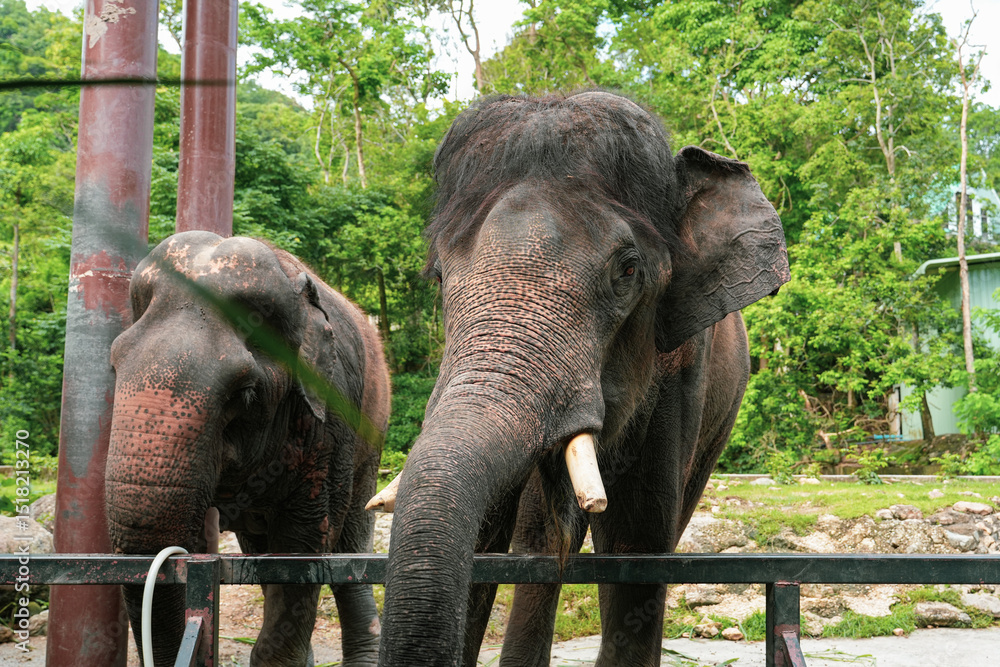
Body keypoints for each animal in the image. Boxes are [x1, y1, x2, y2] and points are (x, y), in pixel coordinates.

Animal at [105, 231, 391, 667]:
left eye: (246, 393)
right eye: (114, 365)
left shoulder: (330, 420)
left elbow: (305, 545)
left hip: (370, 440)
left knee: (351, 551)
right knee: (260, 550)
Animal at [373, 92, 790, 667]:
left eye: (628, 271)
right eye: (439, 276)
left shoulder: (682, 371)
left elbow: (637, 548)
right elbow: (486, 539)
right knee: (539, 540)